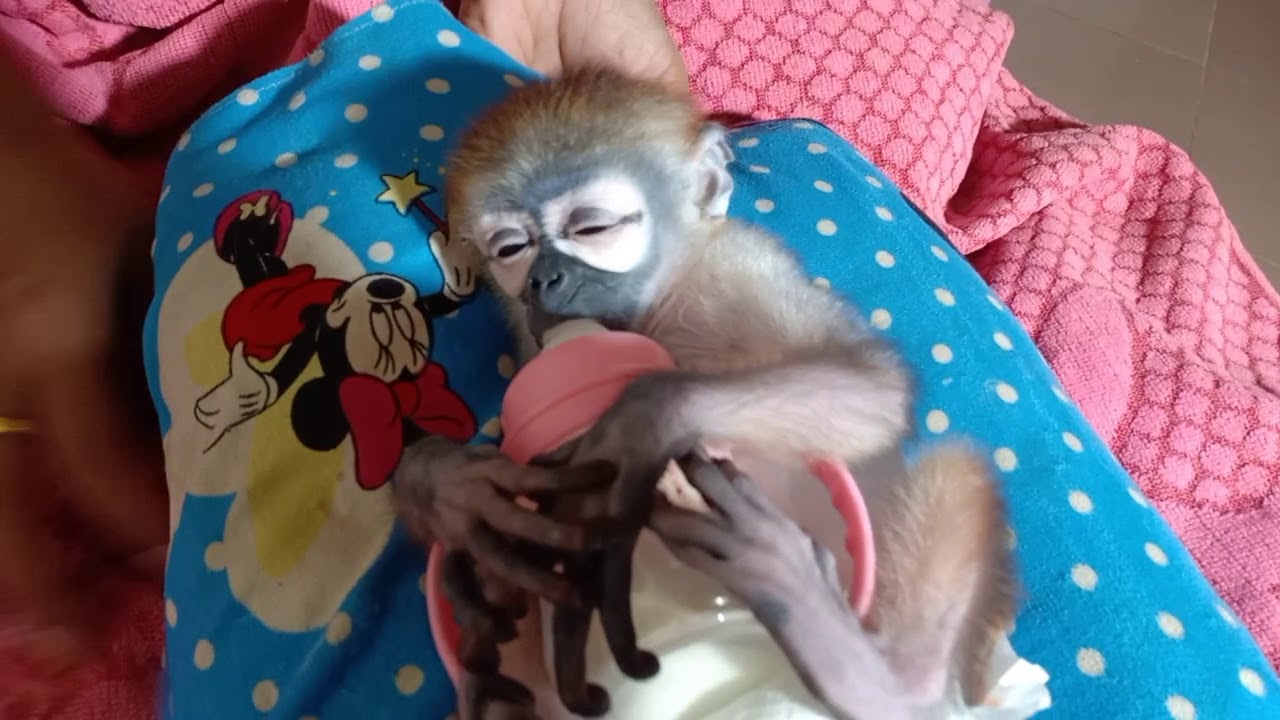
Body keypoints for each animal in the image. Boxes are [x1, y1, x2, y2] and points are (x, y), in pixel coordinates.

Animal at [396, 66, 1017, 719]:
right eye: (511, 248)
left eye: (591, 227)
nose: (545, 281)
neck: (656, 310)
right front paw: (451, 486)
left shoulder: (736, 268)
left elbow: (871, 384)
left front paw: (645, 420)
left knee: (953, 467)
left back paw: (865, 668)